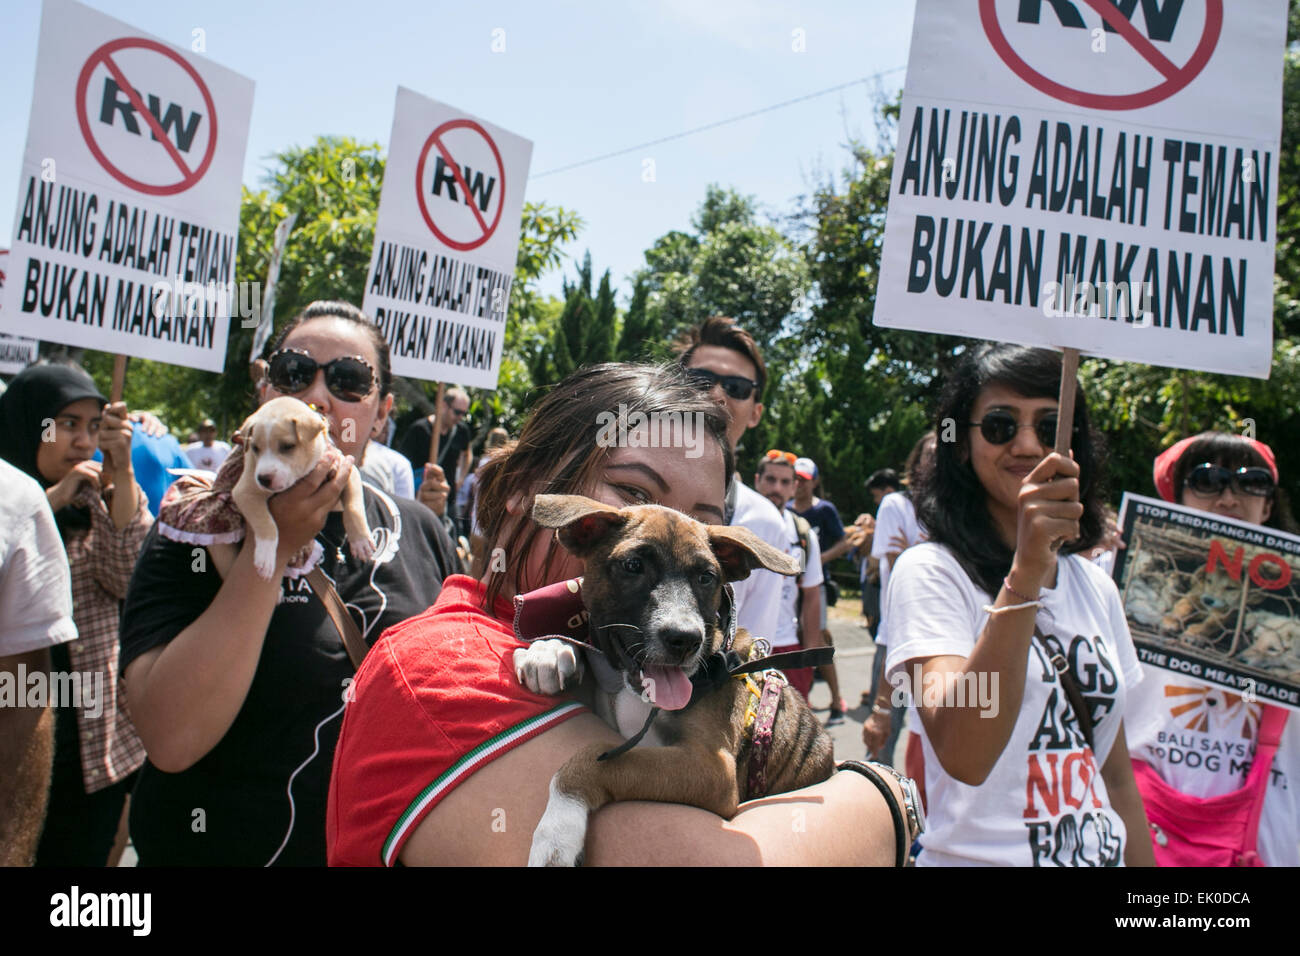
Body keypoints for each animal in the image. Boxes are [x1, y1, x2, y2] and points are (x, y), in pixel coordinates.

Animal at [232, 395, 377, 580]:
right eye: (255, 448)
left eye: (287, 446)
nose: (263, 479)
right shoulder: (246, 491)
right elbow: (266, 523)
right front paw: (265, 558)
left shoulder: (349, 470)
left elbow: (354, 506)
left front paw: (361, 541)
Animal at [514, 494, 832, 868]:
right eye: (633, 565)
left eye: (707, 577)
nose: (685, 639)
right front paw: (549, 651)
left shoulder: (713, 767)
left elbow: (594, 757)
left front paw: (557, 832)